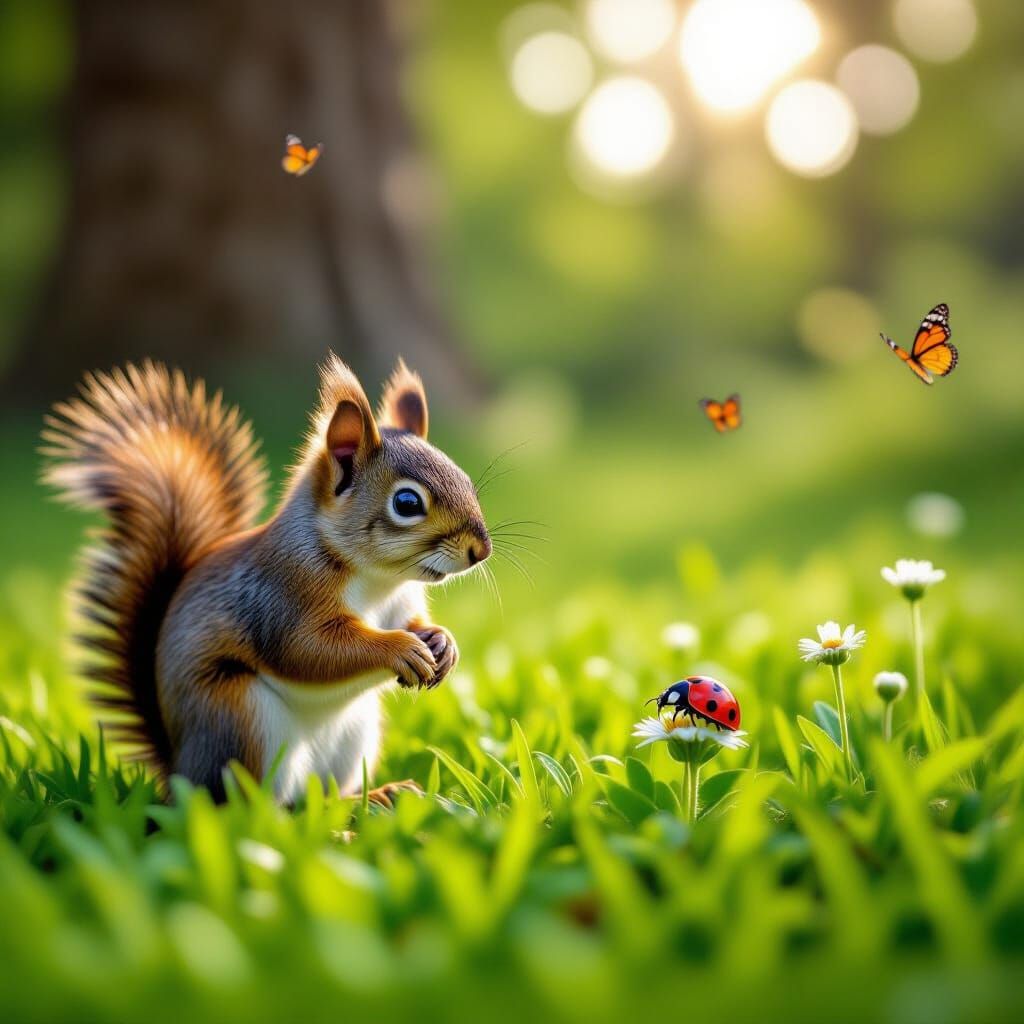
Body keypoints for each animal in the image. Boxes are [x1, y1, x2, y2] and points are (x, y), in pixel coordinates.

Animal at [43, 355, 491, 804]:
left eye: (466, 482)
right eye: (407, 502)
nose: (480, 550)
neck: (379, 580)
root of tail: (179, 774)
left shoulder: (401, 603)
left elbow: (411, 624)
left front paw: (442, 642)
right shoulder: (281, 597)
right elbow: (308, 650)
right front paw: (400, 648)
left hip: (354, 736)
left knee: (320, 800)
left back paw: (377, 796)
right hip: (241, 720)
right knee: (258, 810)